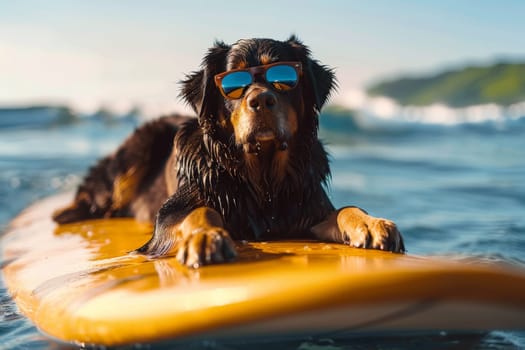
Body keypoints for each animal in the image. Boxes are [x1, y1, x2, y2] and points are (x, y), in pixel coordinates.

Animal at [52, 35, 406, 266]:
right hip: (138, 148)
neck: (261, 178)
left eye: (284, 77)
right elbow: (200, 211)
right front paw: (205, 236)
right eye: (233, 84)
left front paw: (371, 223)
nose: (261, 100)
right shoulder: (170, 213)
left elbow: (344, 208)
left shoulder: (305, 209)